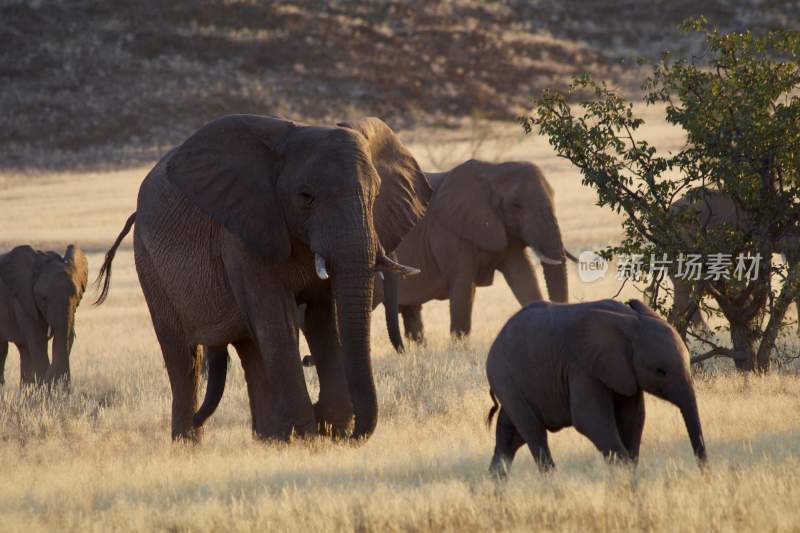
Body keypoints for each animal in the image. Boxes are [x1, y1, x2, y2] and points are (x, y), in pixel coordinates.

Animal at [0, 243, 89, 384]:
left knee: (23, 350)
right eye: (43, 299)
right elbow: (38, 341)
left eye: (76, 296)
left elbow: (65, 337)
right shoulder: (23, 300)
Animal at [97, 115, 432, 440]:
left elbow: (326, 318)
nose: (351, 436)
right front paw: (311, 437)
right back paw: (188, 443)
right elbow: (279, 322)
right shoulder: (244, 233)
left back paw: (270, 438)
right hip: (149, 264)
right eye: (306, 197)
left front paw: (328, 429)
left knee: (250, 351)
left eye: (376, 195)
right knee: (183, 359)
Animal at [372, 159, 572, 350]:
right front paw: (458, 350)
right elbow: (463, 288)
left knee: (411, 312)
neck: (494, 172)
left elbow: (523, 277)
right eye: (516, 205)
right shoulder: (451, 232)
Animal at [488, 298, 708, 476]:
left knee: (509, 437)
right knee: (534, 433)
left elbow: (634, 420)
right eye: (660, 371)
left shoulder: (625, 374)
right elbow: (589, 420)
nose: (704, 474)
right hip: (505, 378)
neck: (630, 320)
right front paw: (626, 478)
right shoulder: (582, 368)